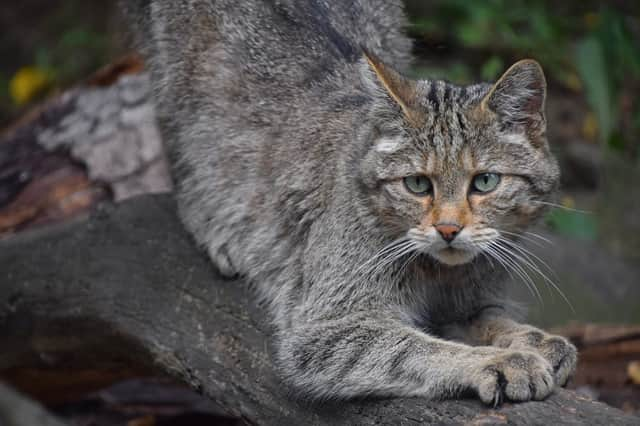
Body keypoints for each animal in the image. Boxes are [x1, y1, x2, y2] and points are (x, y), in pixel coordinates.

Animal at [122, 0, 576, 404]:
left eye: (484, 182)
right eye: (417, 184)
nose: (448, 229)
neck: (439, 274)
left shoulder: (470, 302)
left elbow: (491, 319)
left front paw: (531, 338)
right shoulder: (326, 329)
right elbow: (416, 347)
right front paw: (499, 361)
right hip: (175, 87)